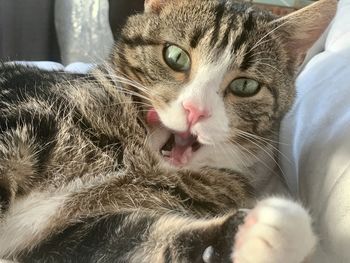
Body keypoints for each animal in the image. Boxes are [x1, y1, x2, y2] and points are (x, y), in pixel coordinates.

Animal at [0, 0, 336, 262]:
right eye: (175, 56)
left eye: (245, 86)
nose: (195, 110)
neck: (137, 158)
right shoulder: (25, 111)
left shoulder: (73, 235)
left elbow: (139, 241)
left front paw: (266, 234)